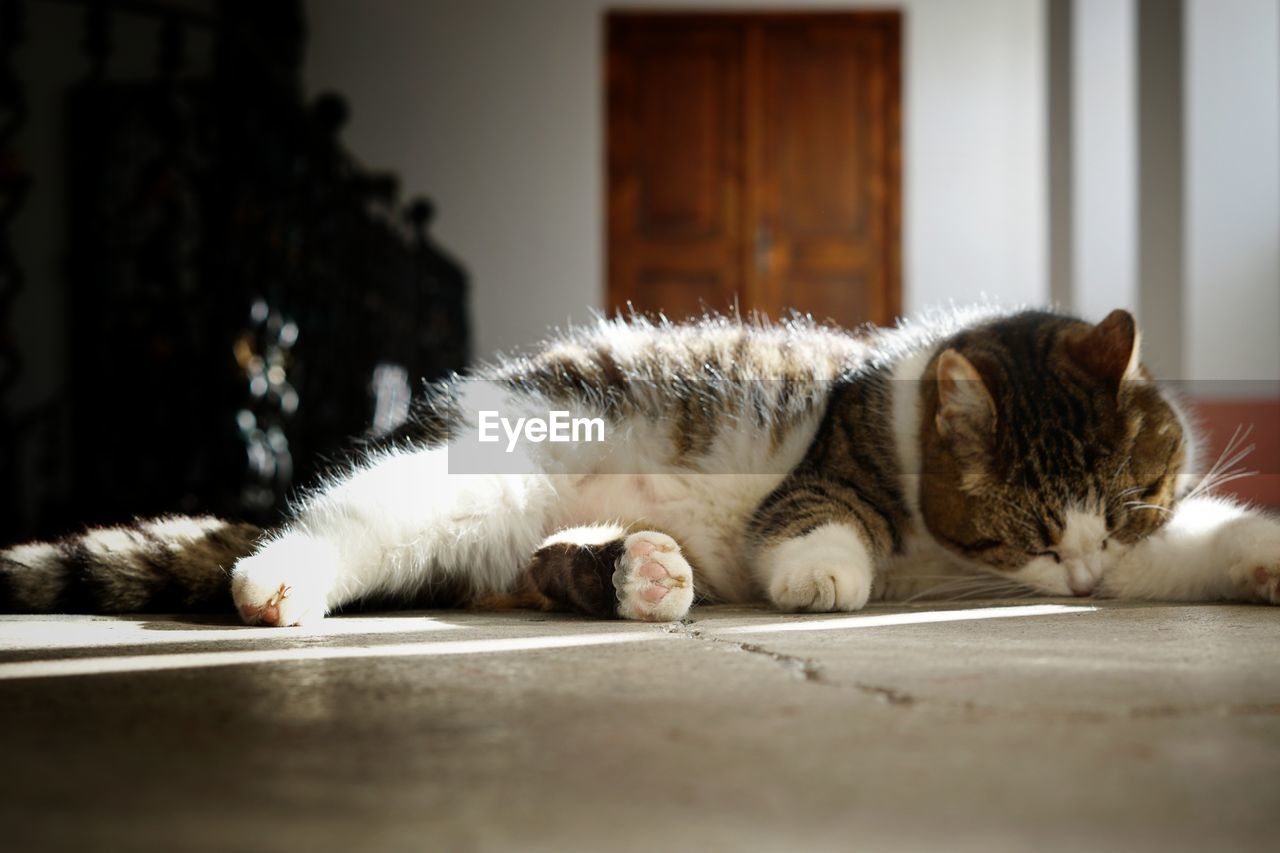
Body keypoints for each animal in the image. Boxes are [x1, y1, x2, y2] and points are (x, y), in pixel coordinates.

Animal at [2, 302, 1280, 622]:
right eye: (1025, 528)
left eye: (1129, 498)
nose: (1076, 577)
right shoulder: (826, 468)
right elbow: (815, 516)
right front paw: (826, 571)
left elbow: (1190, 547)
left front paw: (1259, 552)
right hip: (461, 478)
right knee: (331, 523)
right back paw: (278, 582)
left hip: (509, 533)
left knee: (545, 569)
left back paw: (643, 573)